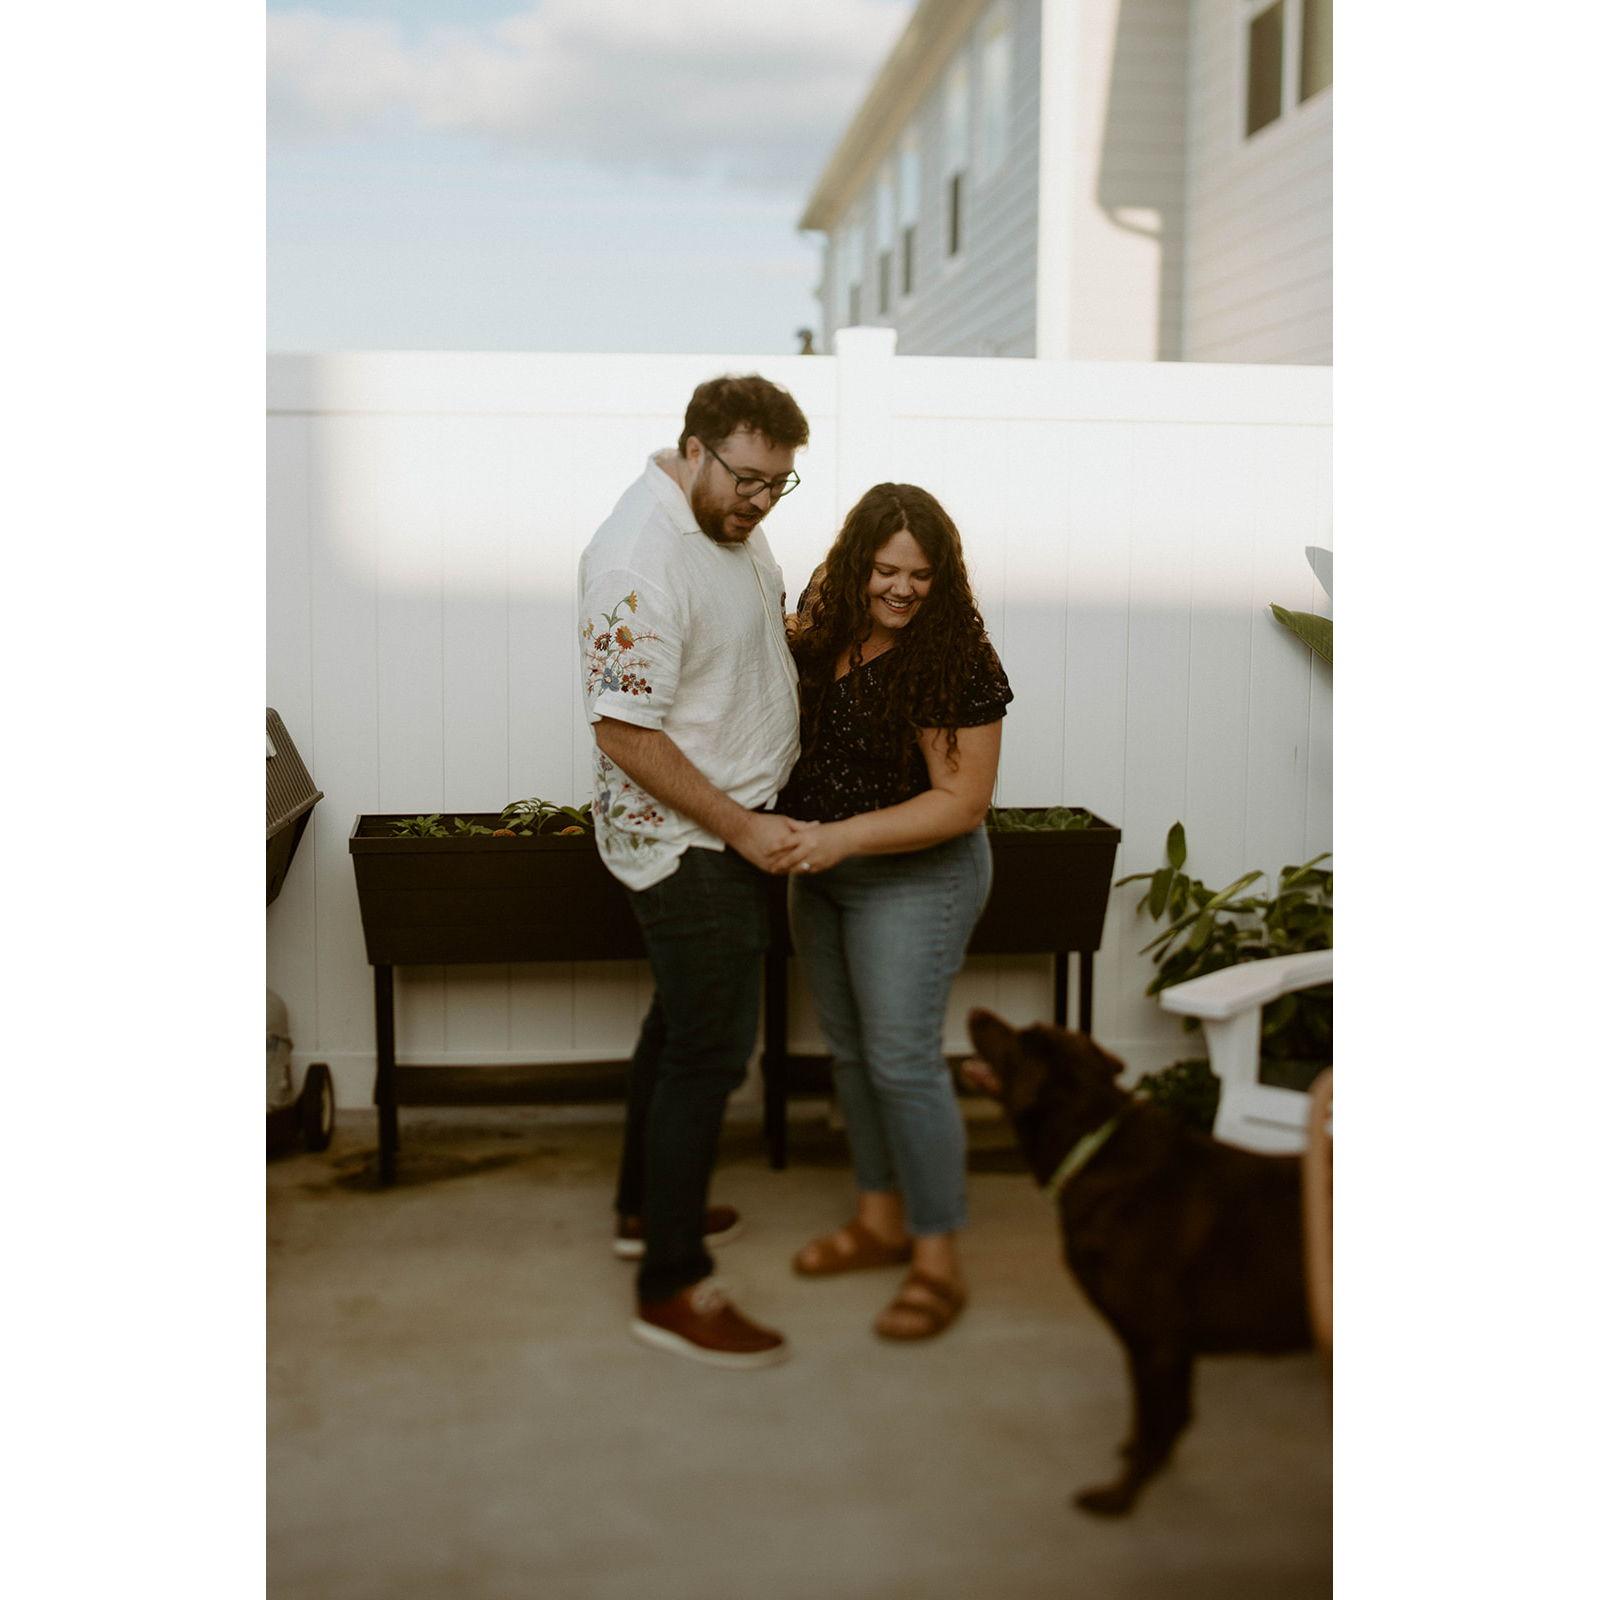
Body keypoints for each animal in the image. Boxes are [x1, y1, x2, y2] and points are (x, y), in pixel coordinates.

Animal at [960, 1004, 1312, 1516]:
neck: (1092, 1150)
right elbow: (1171, 1420)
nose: (974, 1009)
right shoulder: (1168, 1346)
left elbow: (1153, 1425)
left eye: (1024, 1038)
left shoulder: (1156, 1341)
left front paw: (1118, 1496)